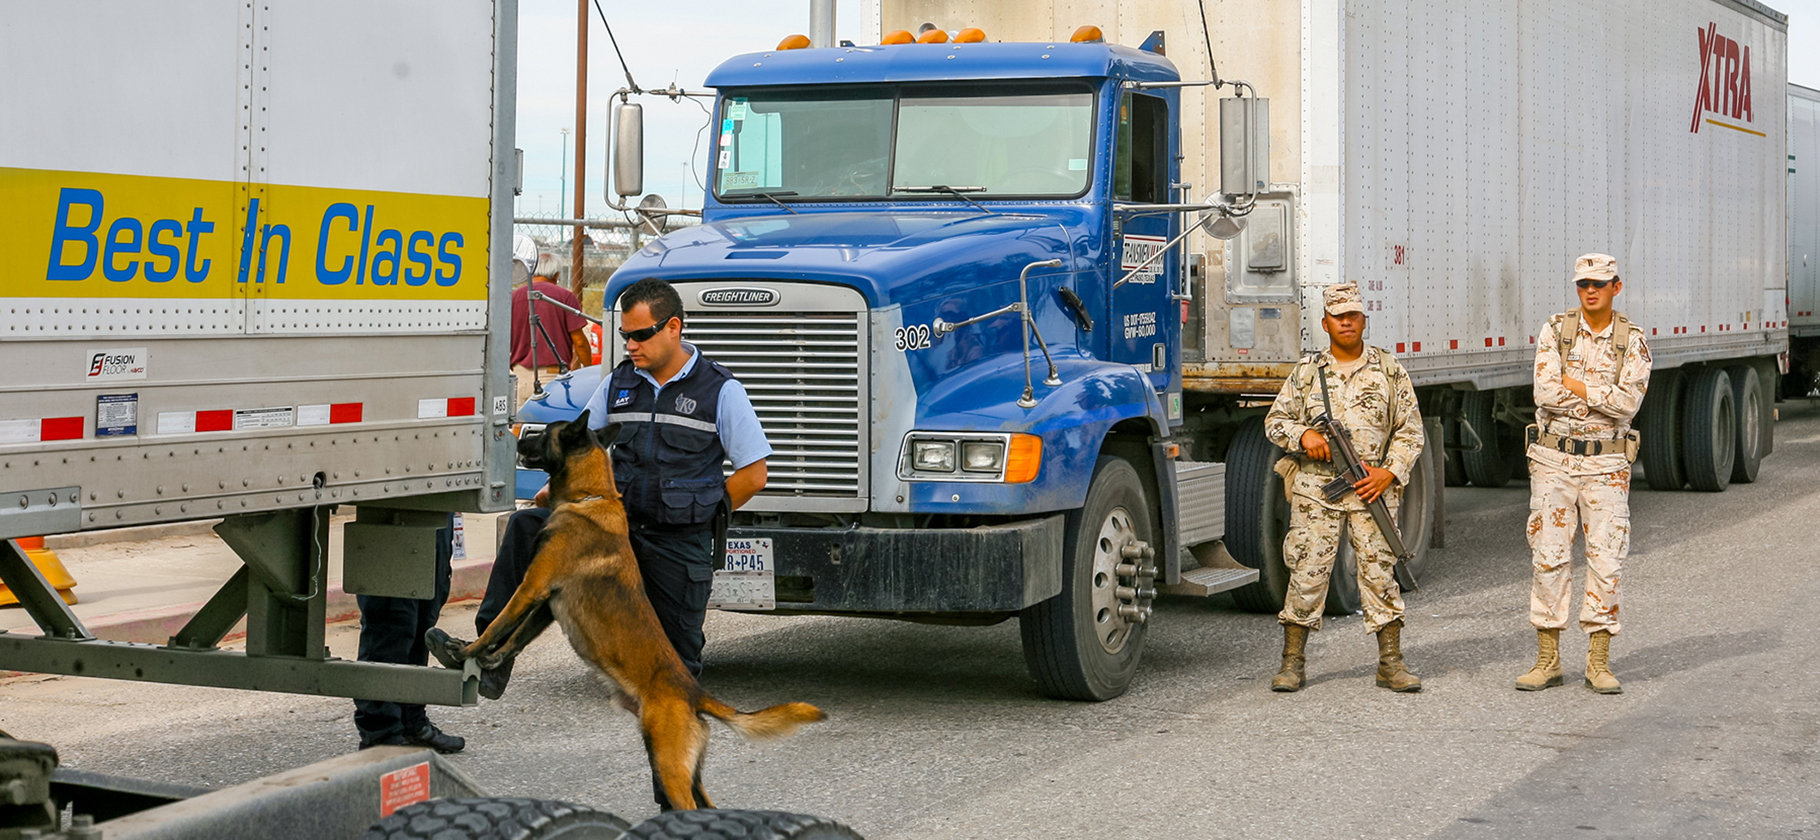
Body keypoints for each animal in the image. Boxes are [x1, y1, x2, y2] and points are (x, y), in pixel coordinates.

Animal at [422, 410, 822, 810]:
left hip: (668, 764)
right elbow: (515, 638)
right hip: (685, 770)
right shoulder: (547, 606)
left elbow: (500, 625)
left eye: (545, 435)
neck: (589, 497)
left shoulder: (531, 588)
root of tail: (694, 694)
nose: (518, 437)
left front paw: (465, 652)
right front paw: (489, 661)